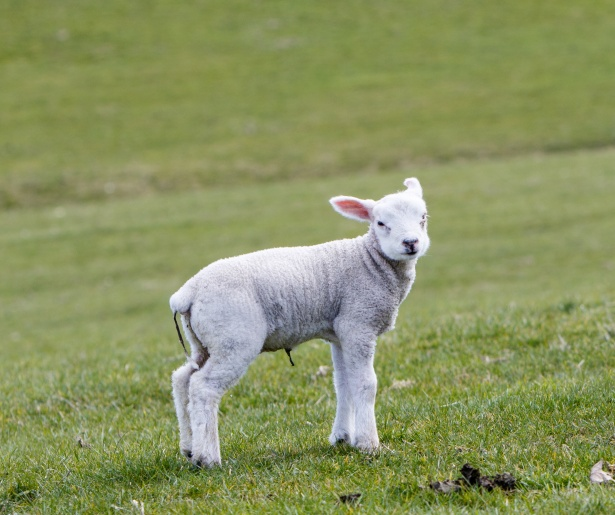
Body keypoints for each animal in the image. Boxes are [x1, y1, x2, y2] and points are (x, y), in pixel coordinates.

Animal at [168, 179, 428, 470]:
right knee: (203, 387)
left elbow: (343, 384)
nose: (411, 243)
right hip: (234, 338)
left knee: (182, 379)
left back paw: (189, 447)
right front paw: (369, 444)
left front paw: (342, 438)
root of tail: (188, 292)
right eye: (381, 223)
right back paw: (208, 457)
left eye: (423, 218)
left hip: (203, 340)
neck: (369, 261)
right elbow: (365, 383)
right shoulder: (358, 323)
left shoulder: (340, 332)